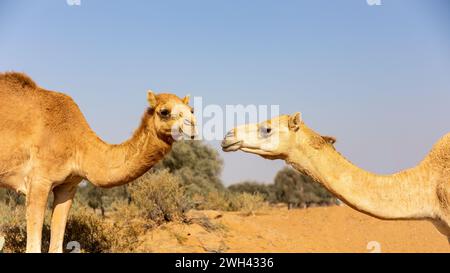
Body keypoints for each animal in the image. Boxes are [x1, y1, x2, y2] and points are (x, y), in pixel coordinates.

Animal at [0, 71, 197, 251]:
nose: (194, 125)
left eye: (191, 110)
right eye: (164, 111)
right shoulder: (38, 182)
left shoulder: (68, 186)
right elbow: (33, 246)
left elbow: (56, 244)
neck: (76, 142)